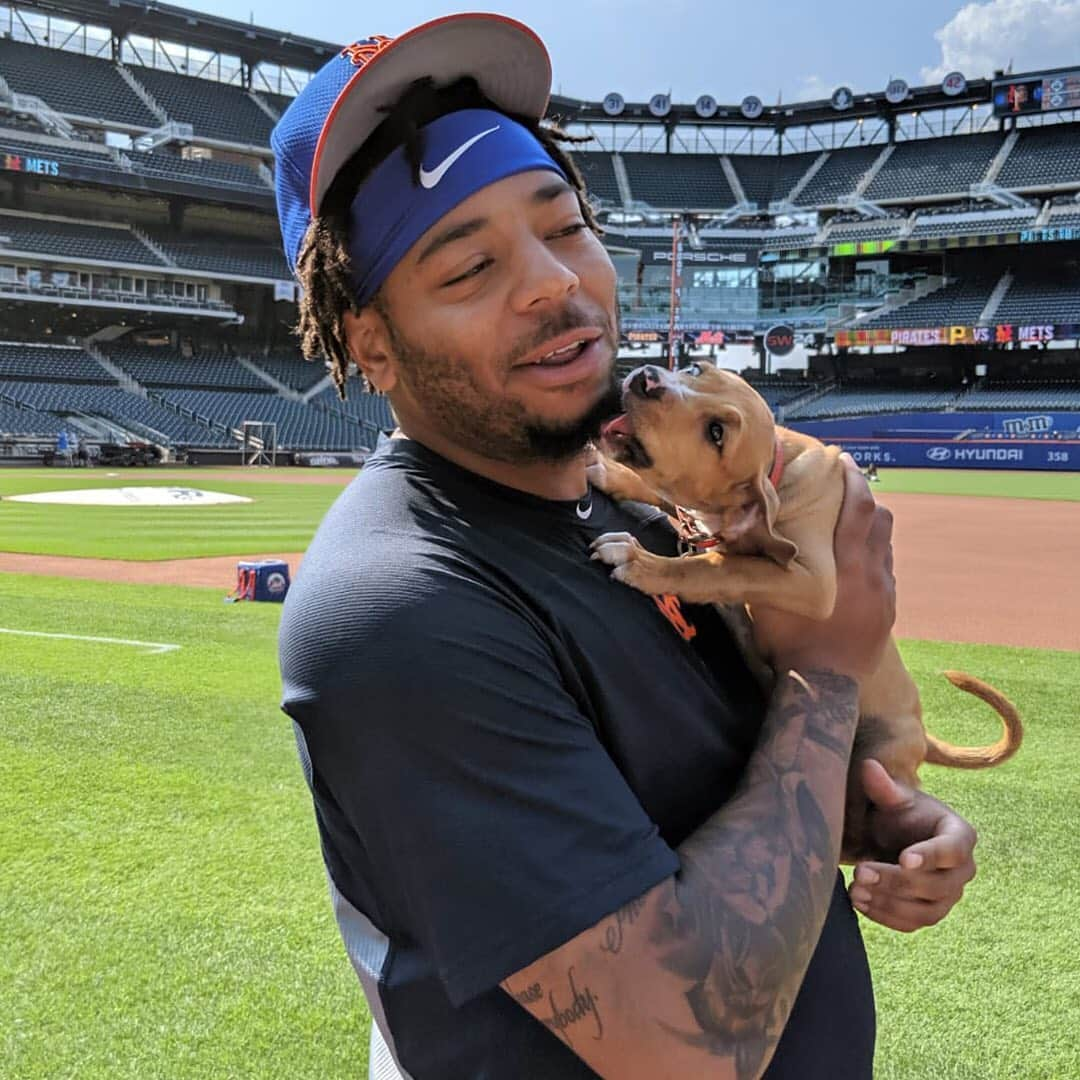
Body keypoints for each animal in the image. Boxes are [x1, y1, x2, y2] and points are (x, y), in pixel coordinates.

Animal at [591, 360, 1019, 851]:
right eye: (695, 369)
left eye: (716, 433)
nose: (647, 377)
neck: (778, 474)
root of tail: (922, 734)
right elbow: (675, 508)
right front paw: (610, 473)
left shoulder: (814, 582)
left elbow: (717, 566)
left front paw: (644, 562)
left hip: (875, 756)